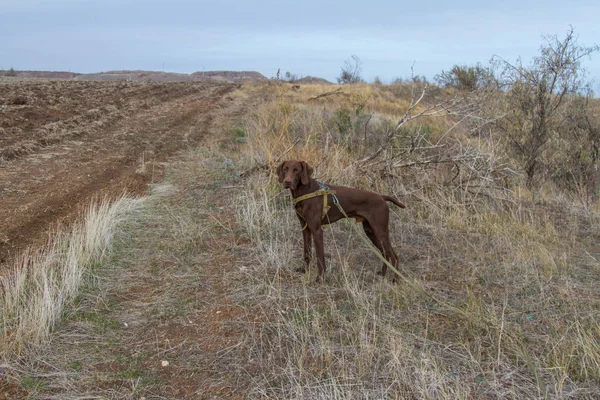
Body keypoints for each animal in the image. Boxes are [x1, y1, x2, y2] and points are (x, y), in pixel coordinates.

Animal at [278, 159, 406, 282]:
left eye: (296, 170)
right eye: (285, 169)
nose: (287, 182)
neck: (305, 191)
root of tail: (382, 197)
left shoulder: (317, 230)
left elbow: (320, 257)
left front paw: (320, 278)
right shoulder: (305, 229)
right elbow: (307, 253)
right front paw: (304, 270)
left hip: (380, 231)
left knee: (394, 256)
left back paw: (395, 279)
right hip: (371, 232)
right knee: (385, 254)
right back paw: (383, 274)